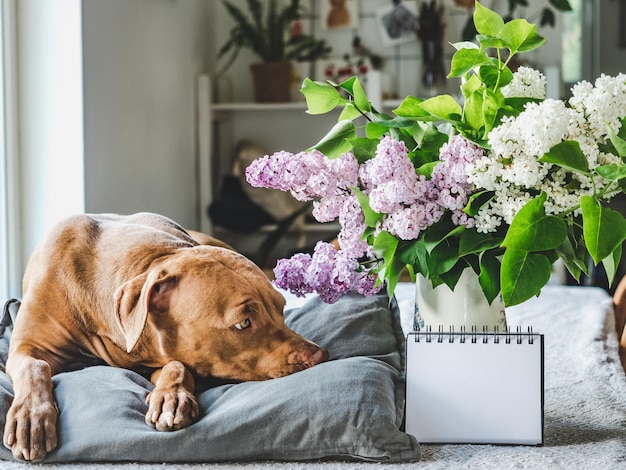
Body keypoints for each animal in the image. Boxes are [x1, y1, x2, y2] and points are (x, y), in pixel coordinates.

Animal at [3, 212, 326, 458]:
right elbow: (35, 366)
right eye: (244, 322)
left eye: (281, 308)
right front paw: (30, 416)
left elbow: (177, 363)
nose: (319, 356)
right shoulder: (25, 348)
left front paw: (172, 397)